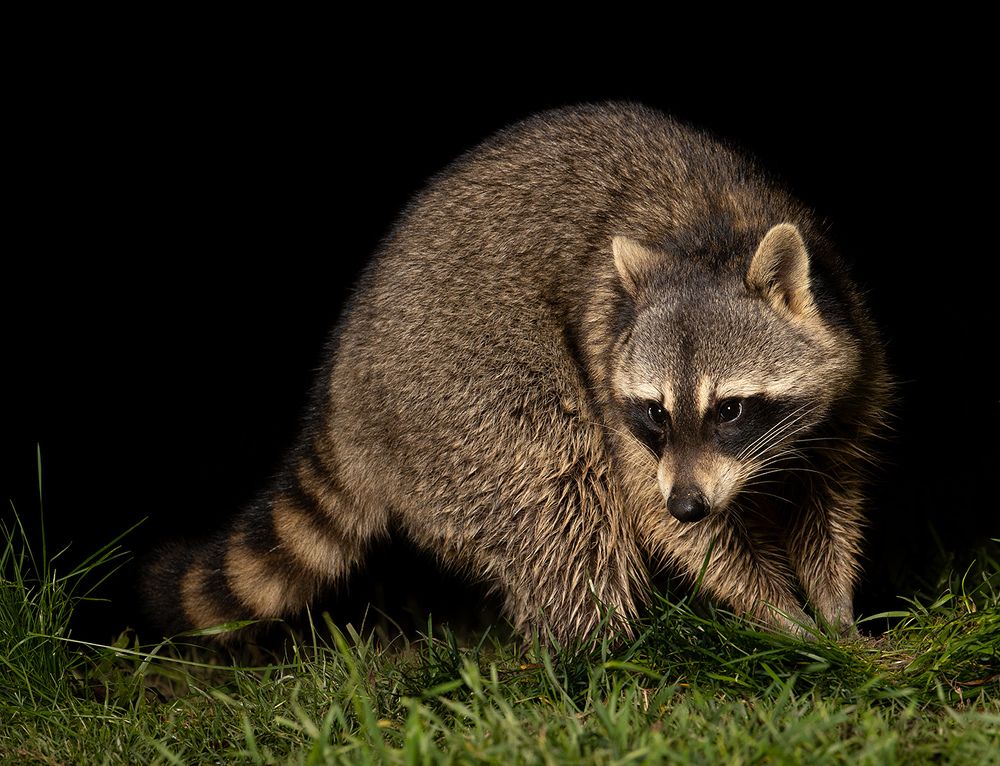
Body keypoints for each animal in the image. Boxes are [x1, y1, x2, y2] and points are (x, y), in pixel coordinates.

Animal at [143, 103, 890, 643]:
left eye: (729, 409)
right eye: (654, 412)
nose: (688, 499)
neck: (709, 238)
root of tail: (345, 388)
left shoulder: (852, 347)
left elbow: (831, 491)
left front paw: (833, 606)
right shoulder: (607, 359)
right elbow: (663, 519)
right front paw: (781, 616)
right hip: (451, 382)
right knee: (557, 485)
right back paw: (605, 654)